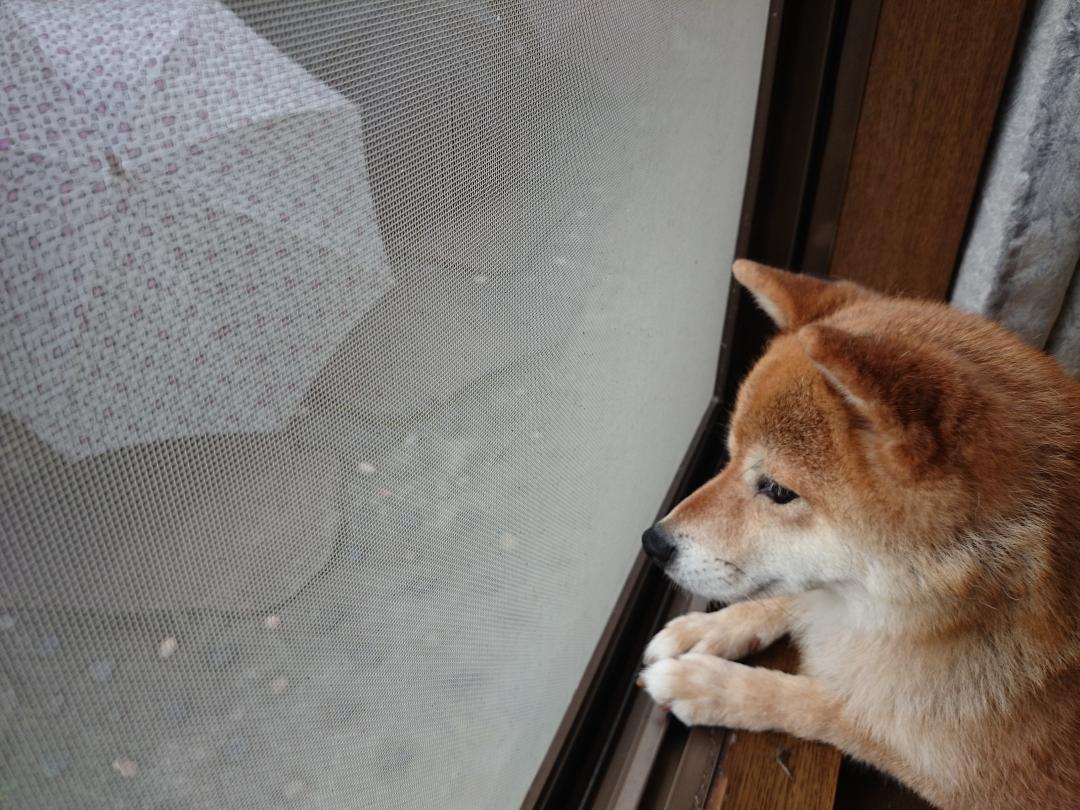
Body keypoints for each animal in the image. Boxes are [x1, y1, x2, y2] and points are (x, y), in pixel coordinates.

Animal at [635, 263, 1080, 810]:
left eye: (778, 490)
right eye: (731, 456)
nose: (653, 543)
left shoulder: (953, 769)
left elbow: (819, 704)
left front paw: (707, 685)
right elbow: (793, 598)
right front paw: (705, 630)